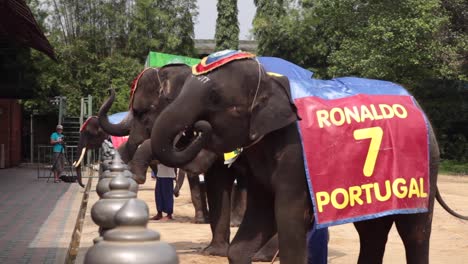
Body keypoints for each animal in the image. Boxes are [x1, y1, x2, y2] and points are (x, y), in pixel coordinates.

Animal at [149, 54, 468, 264]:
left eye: (214, 98)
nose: (197, 128)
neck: (272, 82)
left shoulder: (294, 156)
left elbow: (287, 217)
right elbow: (258, 217)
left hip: (424, 166)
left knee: (415, 232)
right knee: (371, 231)